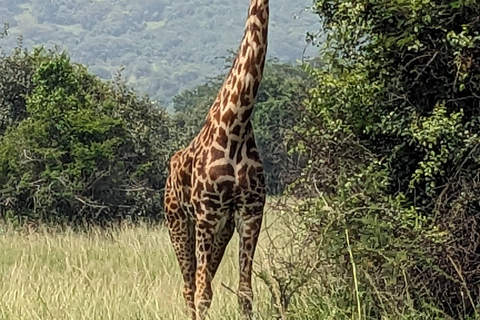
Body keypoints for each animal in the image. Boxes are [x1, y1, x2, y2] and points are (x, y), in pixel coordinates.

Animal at [164, 0, 270, 320]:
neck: (236, 124)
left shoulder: (250, 211)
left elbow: (245, 293)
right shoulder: (206, 214)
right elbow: (203, 295)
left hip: (223, 228)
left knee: (203, 277)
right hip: (178, 220)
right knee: (190, 287)